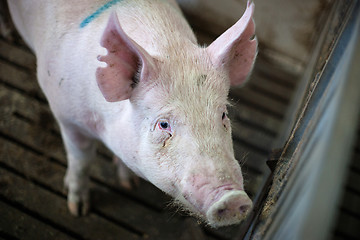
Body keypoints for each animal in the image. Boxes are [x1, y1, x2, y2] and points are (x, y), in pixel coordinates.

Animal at [7, 0, 258, 227]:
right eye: (163, 124)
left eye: (223, 115)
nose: (233, 198)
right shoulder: (67, 117)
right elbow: (82, 161)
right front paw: (78, 210)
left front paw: (128, 184)